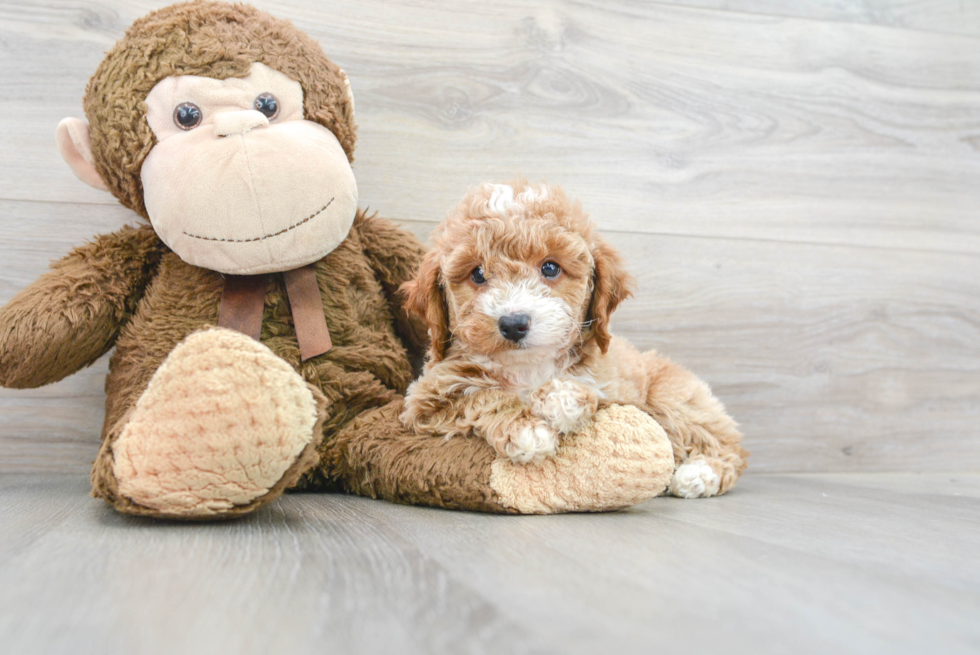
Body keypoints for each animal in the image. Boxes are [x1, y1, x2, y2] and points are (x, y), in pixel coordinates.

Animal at [402, 179, 748, 498]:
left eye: (550, 268)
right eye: (477, 274)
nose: (513, 324)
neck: (528, 367)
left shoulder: (620, 393)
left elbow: (594, 395)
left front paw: (562, 397)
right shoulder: (425, 398)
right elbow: (479, 395)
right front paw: (527, 430)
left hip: (674, 397)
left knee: (728, 446)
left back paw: (700, 474)